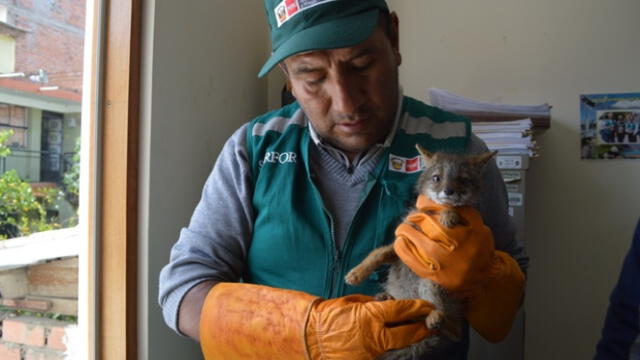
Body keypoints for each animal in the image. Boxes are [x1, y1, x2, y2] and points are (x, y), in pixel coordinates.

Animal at [344, 144, 496, 360]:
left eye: (462, 179)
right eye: (437, 178)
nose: (448, 191)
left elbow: (455, 211)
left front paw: (449, 215)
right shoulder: (400, 247)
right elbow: (376, 254)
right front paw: (356, 273)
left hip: (430, 282)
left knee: (453, 329)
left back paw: (435, 318)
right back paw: (385, 298)